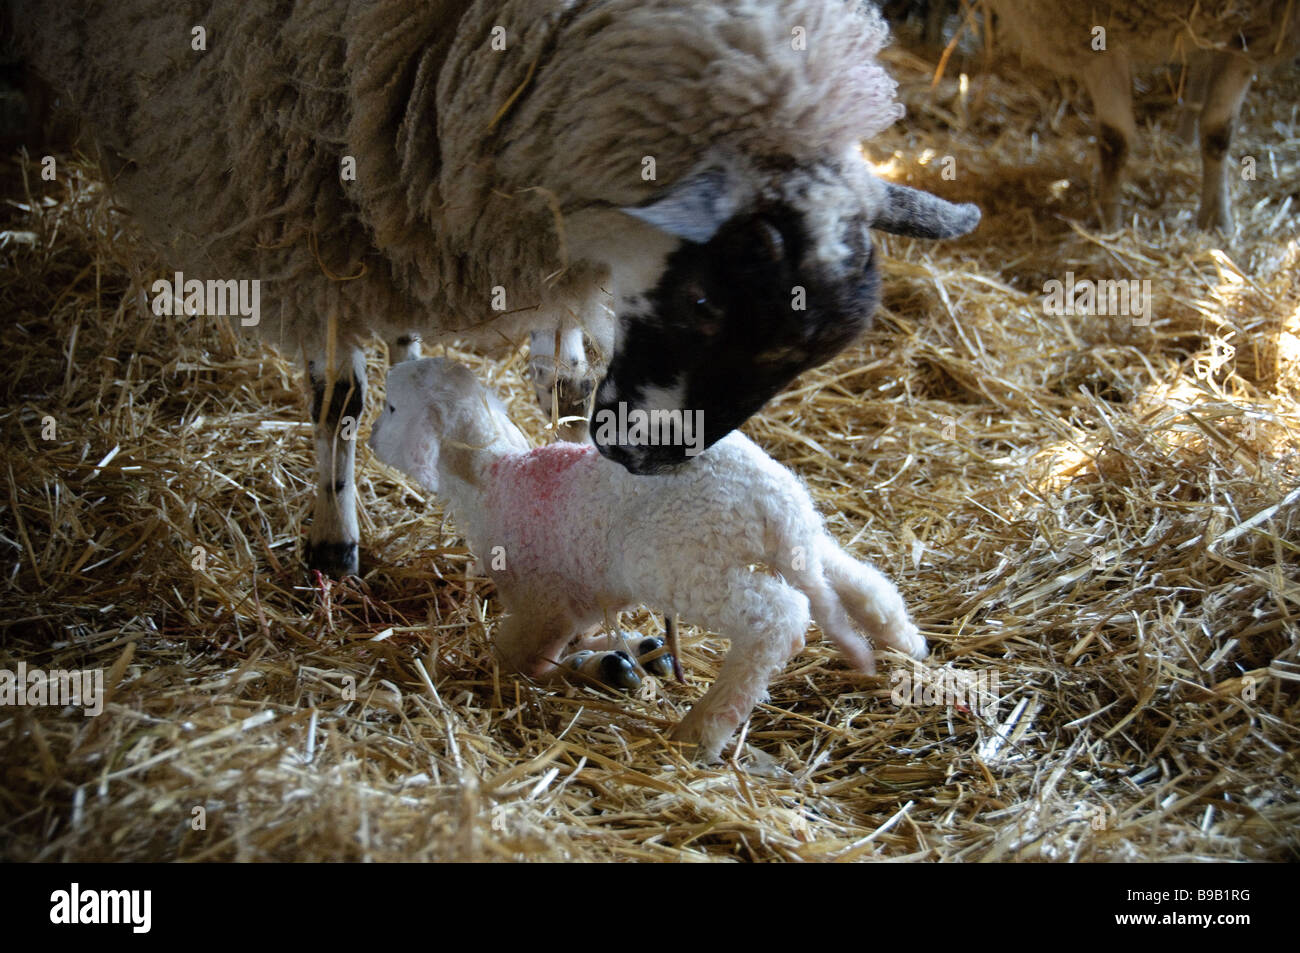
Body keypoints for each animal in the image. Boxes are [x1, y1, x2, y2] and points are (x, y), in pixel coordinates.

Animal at [13, 0, 980, 578]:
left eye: (809, 358)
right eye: (705, 304)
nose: (649, 461)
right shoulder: (297, 185)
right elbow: (337, 397)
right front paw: (333, 540)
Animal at [368, 357, 928, 760]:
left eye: (392, 408)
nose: (369, 437)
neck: (493, 474)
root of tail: (768, 505)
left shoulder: (540, 601)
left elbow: (523, 660)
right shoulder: (582, 592)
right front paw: (618, 654)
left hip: (680, 564)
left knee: (778, 619)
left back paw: (702, 730)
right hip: (799, 535)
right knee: (859, 579)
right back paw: (905, 639)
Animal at [986, 0, 1300, 231]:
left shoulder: (1252, 35)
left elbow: (1218, 133)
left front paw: (1217, 222)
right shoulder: (1090, 33)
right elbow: (1115, 141)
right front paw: (1110, 226)